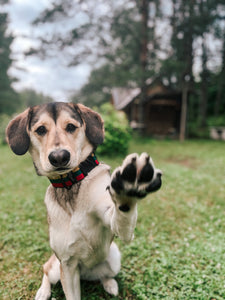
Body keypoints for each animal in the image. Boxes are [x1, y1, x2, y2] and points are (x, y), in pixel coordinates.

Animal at [5, 103, 162, 300]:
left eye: (71, 127)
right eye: (40, 130)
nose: (59, 157)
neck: (71, 184)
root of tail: (86, 273)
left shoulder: (117, 224)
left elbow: (122, 212)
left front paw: (129, 186)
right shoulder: (67, 264)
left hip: (114, 258)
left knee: (105, 275)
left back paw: (110, 284)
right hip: (57, 268)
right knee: (46, 269)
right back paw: (43, 291)